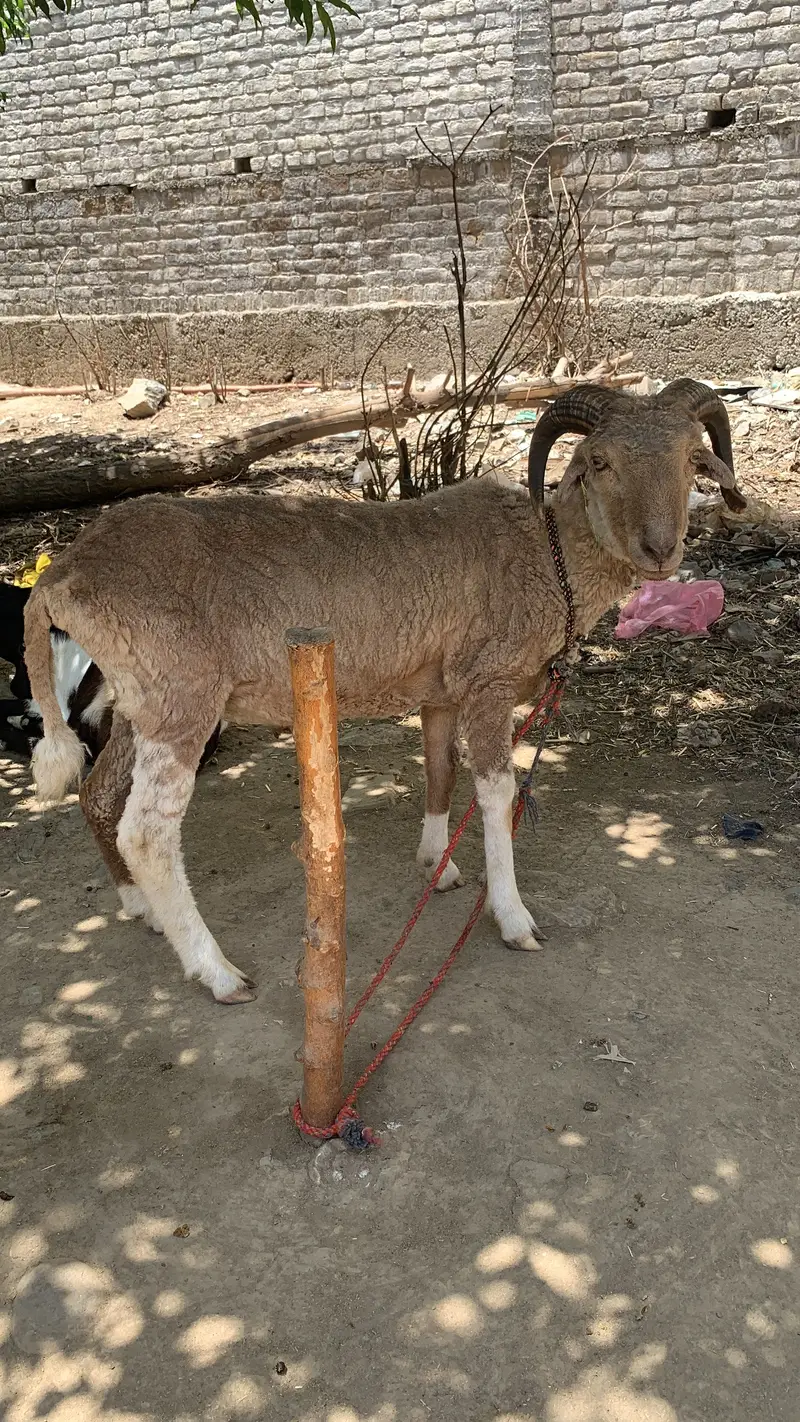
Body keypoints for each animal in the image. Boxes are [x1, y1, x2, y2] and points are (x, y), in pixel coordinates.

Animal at [23, 378, 745, 1004]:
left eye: (692, 458)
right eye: (600, 461)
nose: (660, 549)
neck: (549, 557)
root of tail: (63, 573)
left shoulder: (442, 689)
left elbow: (439, 770)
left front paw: (437, 866)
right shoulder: (487, 681)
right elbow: (496, 793)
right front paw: (512, 916)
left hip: (136, 700)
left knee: (98, 794)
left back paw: (140, 909)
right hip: (180, 697)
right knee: (147, 833)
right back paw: (217, 971)